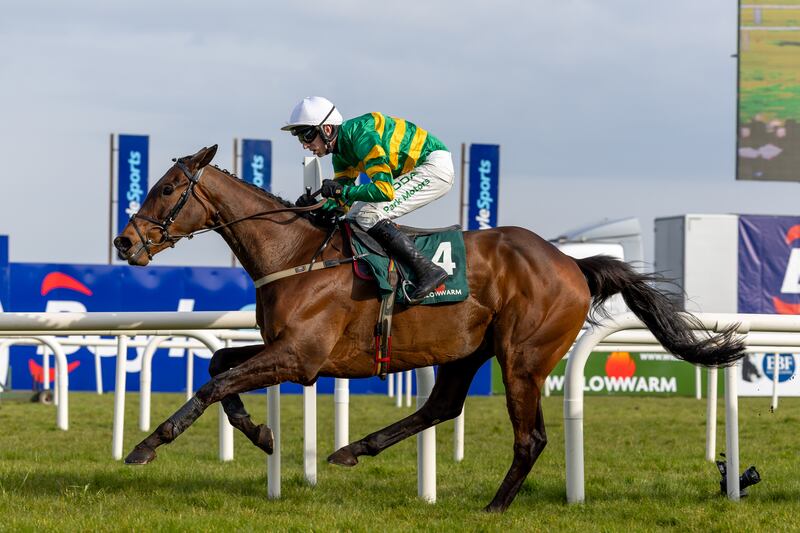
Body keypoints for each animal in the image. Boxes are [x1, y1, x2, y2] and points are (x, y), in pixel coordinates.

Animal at [111, 144, 744, 512]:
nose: (124, 242)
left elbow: (214, 381)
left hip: (522, 357)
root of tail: (571, 262)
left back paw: (494, 507)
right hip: (468, 350)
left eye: (167, 189)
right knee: (442, 406)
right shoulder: (283, 348)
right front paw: (261, 434)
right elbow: (219, 365)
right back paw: (353, 450)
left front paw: (147, 446)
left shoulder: (302, 357)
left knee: (530, 438)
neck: (296, 252)